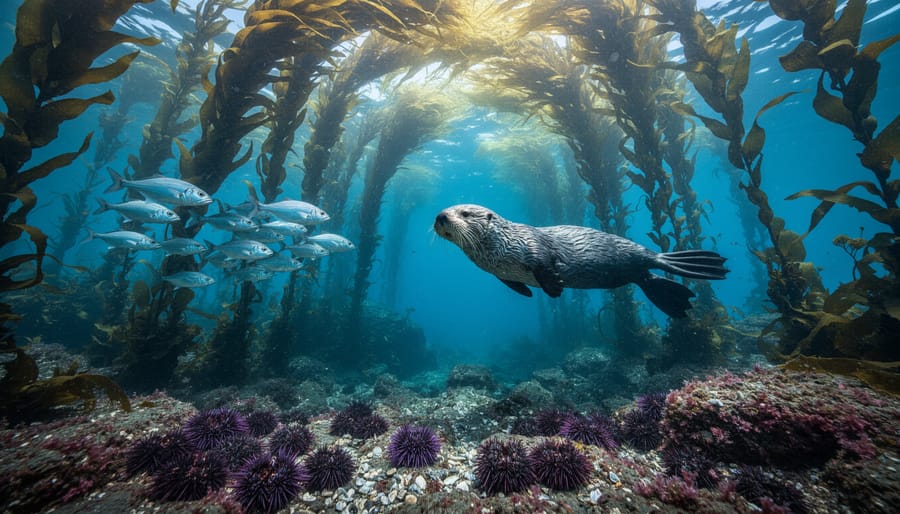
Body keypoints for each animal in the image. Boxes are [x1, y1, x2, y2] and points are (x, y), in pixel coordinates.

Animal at [434, 204, 728, 318]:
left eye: (465, 212)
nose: (440, 216)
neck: (501, 247)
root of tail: (658, 255)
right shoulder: (500, 272)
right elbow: (515, 284)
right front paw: (527, 292)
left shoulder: (533, 246)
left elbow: (546, 265)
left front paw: (555, 288)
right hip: (641, 276)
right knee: (649, 278)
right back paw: (679, 302)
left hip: (640, 255)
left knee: (652, 262)